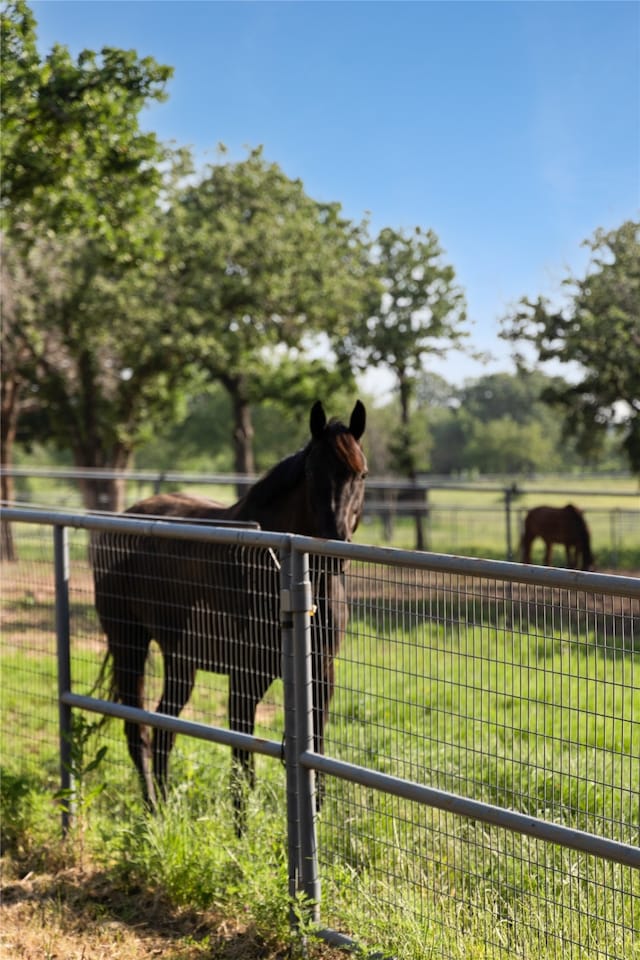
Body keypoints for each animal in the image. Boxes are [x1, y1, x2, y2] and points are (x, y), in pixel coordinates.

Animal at [92, 398, 368, 824]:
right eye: (311, 472)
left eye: (362, 474)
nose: (334, 548)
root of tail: (123, 518)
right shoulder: (244, 678)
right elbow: (243, 766)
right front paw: (242, 835)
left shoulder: (322, 675)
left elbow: (317, 758)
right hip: (129, 644)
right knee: (138, 729)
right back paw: (153, 811)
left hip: (180, 660)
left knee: (163, 727)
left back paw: (166, 810)